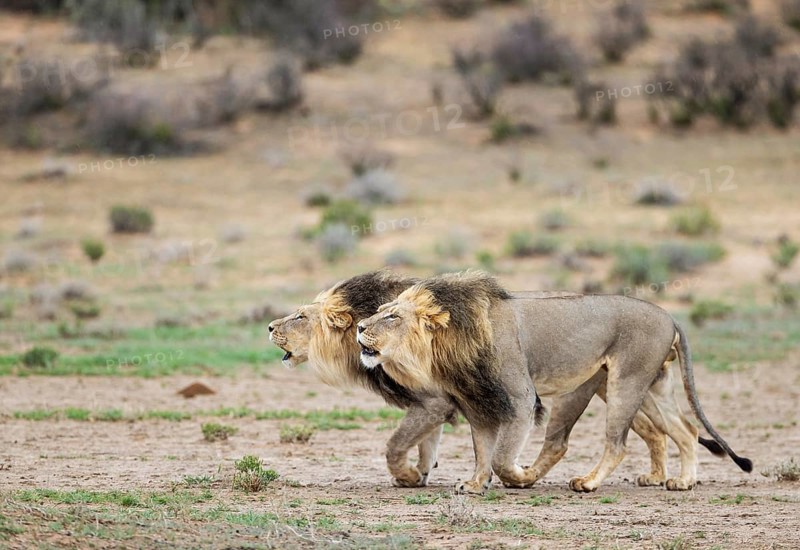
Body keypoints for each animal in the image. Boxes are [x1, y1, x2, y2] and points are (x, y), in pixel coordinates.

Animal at [271, 271, 722, 491]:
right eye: (379, 313)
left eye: (300, 316)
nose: (271, 326)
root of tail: (668, 315)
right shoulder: (464, 400)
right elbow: (451, 445)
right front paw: (436, 475)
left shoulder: (459, 400)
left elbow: (400, 443)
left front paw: (409, 476)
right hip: (631, 385)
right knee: (679, 429)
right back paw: (677, 479)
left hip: (623, 383)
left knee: (617, 441)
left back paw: (587, 482)